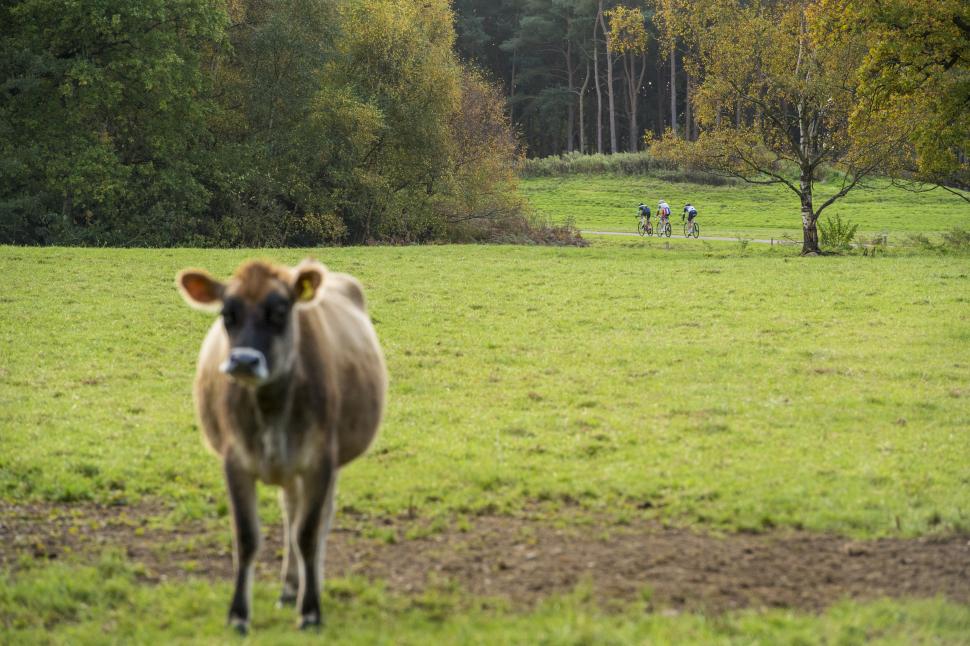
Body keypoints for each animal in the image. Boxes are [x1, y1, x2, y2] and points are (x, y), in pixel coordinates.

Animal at [176, 258, 387, 634]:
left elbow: (308, 534)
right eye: (227, 313)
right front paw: (238, 615)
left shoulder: (319, 462)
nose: (244, 361)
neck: (271, 407)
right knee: (291, 512)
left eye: (280, 310)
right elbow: (247, 537)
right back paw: (289, 588)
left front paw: (311, 610)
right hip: (288, 470)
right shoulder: (235, 462)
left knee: (317, 522)